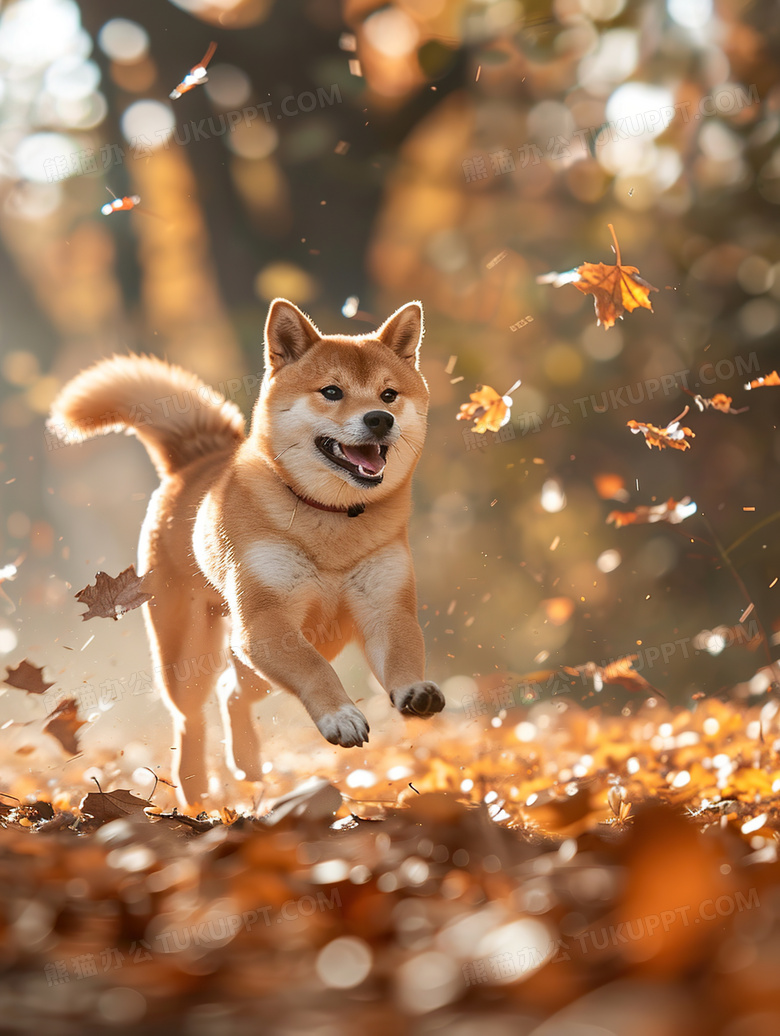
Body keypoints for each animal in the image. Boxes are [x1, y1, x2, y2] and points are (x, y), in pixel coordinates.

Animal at [51, 298, 443, 799]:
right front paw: (341, 716)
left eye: (389, 395)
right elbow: (315, 671)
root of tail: (196, 462)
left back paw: (247, 763)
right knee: (192, 716)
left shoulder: (385, 609)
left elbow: (401, 658)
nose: (379, 419)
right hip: (194, 654)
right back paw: (196, 790)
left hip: (289, 644)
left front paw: (414, 692)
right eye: (332, 391)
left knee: (232, 692)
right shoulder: (266, 622)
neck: (331, 520)